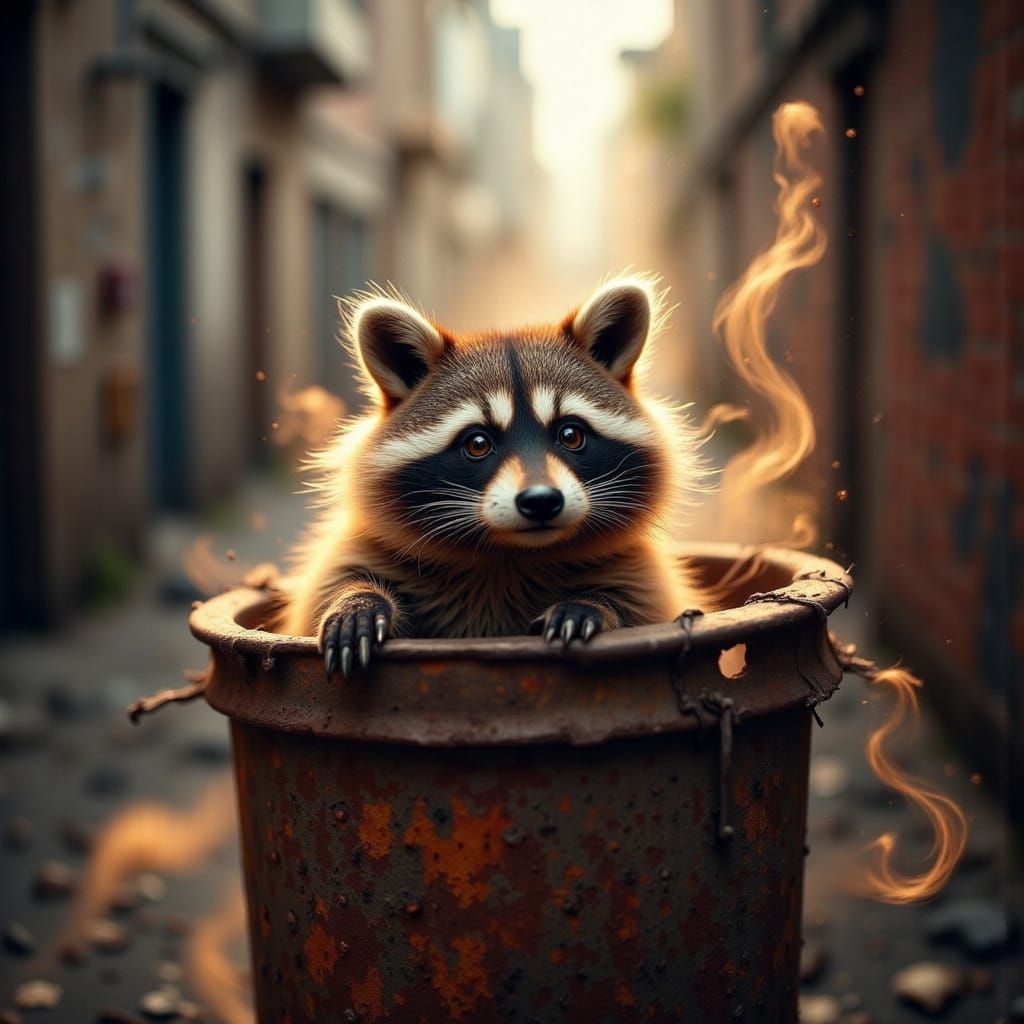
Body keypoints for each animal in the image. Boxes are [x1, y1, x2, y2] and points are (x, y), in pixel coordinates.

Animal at [281, 276, 711, 678]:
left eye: (570, 435)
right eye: (477, 444)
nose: (542, 501)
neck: (508, 554)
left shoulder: (642, 573)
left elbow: (639, 607)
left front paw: (590, 605)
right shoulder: (358, 550)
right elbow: (330, 586)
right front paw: (358, 600)